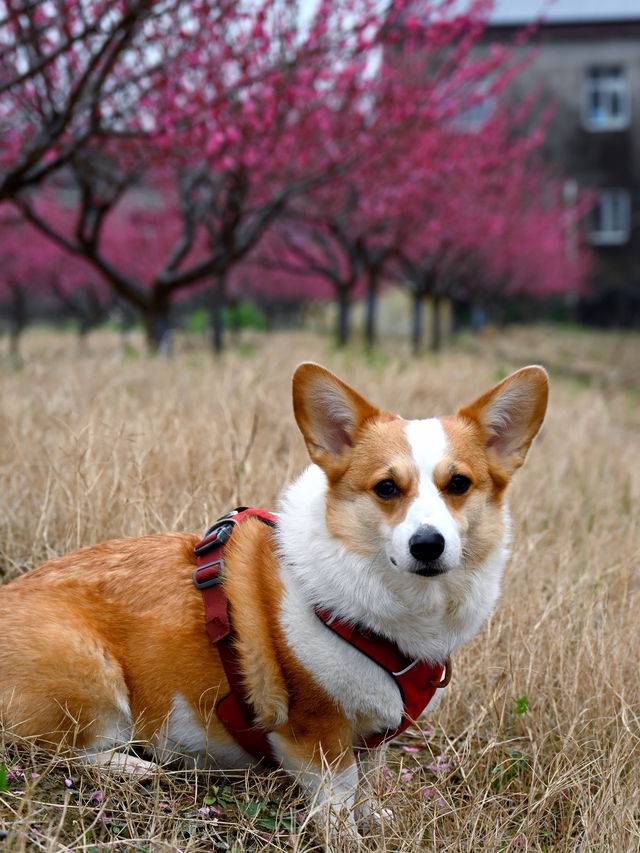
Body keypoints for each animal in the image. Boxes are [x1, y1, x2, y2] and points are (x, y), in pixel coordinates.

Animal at [1, 362, 552, 836]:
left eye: (458, 483)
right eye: (386, 488)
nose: (427, 545)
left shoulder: (369, 738)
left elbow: (367, 783)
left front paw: (375, 817)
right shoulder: (317, 736)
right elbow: (338, 795)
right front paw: (348, 837)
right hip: (89, 674)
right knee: (63, 753)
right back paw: (133, 768)